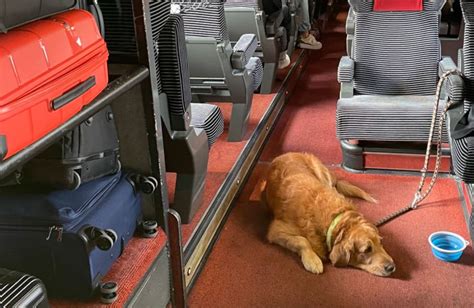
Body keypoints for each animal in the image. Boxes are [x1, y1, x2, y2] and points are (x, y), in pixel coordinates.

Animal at [262, 153, 396, 276]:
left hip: (324, 175)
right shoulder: (275, 230)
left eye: (380, 242)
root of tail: (287, 153)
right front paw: (313, 260)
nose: (392, 267)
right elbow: (302, 240)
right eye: (367, 249)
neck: (334, 219)